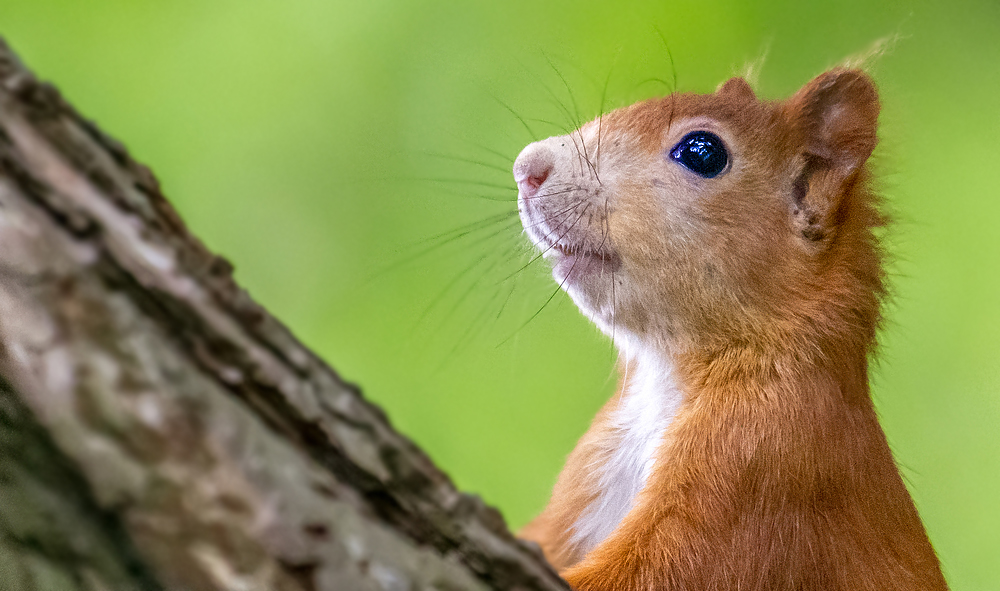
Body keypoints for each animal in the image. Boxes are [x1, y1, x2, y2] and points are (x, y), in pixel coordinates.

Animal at [512, 70, 948, 591]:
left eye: (703, 153)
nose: (527, 166)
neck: (665, 378)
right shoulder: (593, 463)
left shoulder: (762, 465)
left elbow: (653, 572)